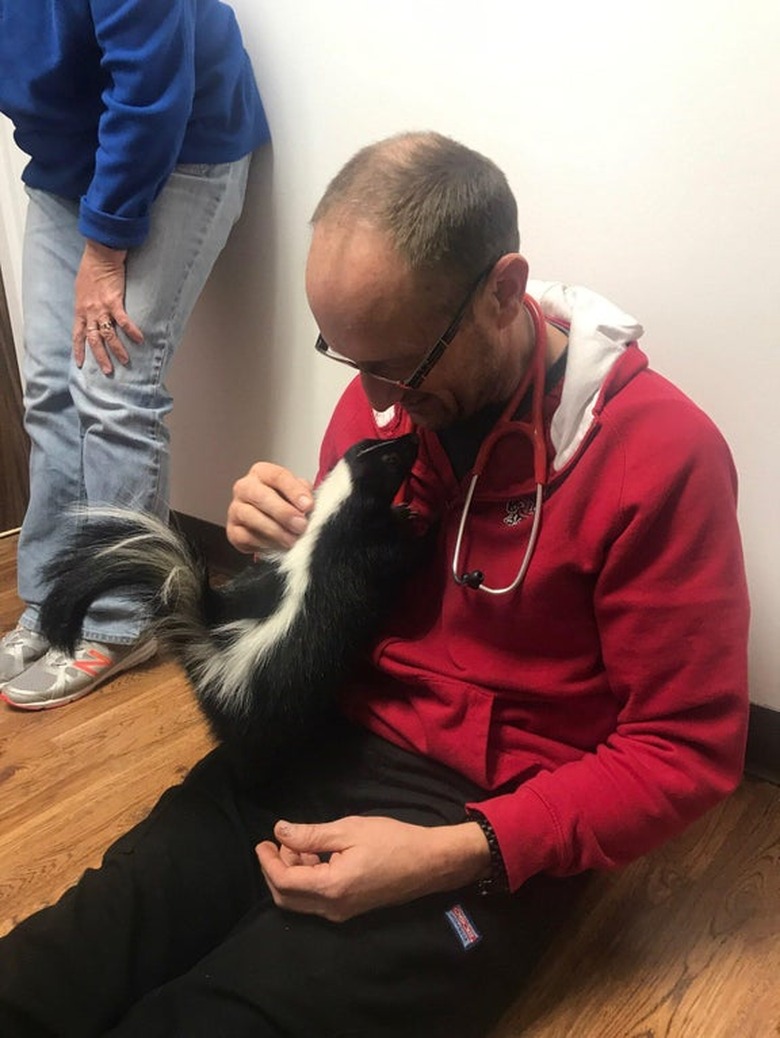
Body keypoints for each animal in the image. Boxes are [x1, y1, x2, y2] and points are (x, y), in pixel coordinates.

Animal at [38, 433, 421, 759]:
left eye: (385, 443)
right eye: (391, 459)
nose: (414, 437)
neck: (330, 519)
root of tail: (209, 636)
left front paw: (403, 512)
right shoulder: (361, 555)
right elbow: (399, 558)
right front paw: (420, 527)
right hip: (260, 702)